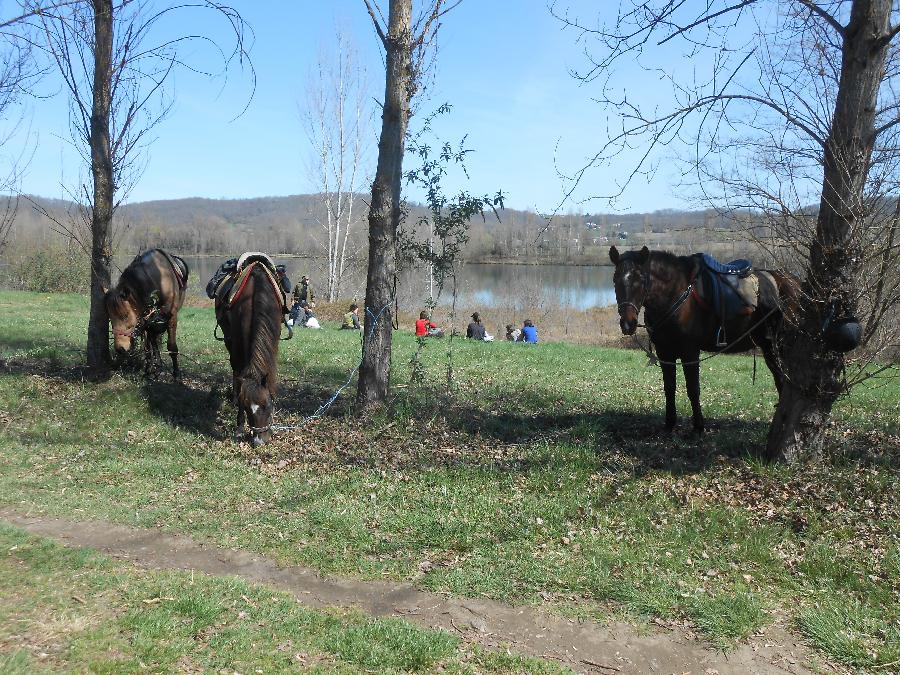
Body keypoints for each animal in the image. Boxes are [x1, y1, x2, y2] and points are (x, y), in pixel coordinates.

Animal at [103, 250, 188, 378]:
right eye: (110, 318)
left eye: (125, 316)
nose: (120, 349)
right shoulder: (146, 321)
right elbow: (149, 346)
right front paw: (151, 369)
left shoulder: (171, 317)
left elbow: (171, 346)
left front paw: (176, 374)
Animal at [212, 252, 288, 444]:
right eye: (246, 407)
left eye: (268, 406)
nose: (259, 441)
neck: (257, 293)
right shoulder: (238, 342)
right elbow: (239, 375)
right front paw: (239, 428)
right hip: (229, 339)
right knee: (234, 368)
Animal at [612, 246, 796, 436]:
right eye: (615, 280)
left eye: (640, 280)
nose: (628, 323)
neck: (674, 295)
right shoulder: (665, 352)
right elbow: (669, 388)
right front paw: (670, 424)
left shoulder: (690, 352)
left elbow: (693, 389)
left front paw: (698, 427)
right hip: (769, 346)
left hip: (777, 345)